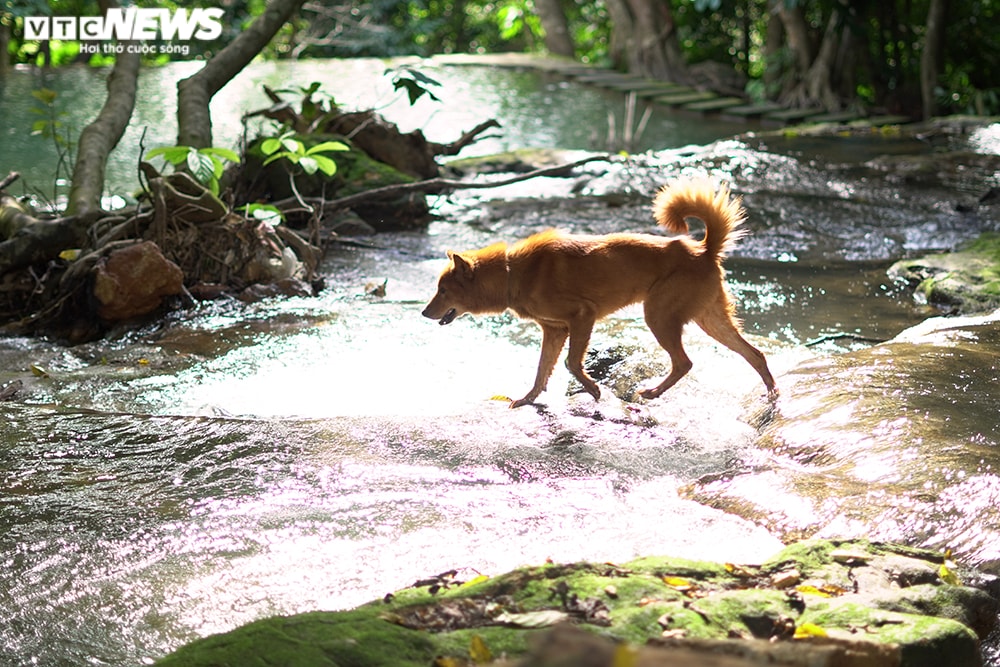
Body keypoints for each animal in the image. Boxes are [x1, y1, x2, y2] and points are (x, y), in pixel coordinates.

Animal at [420, 177, 772, 408]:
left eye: (443, 290)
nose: (423, 313)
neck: (512, 274)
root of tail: (703, 250)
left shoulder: (581, 316)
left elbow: (571, 364)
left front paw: (594, 391)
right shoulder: (555, 330)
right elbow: (542, 371)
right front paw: (526, 400)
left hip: (659, 316)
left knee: (684, 362)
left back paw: (652, 393)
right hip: (710, 320)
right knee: (754, 353)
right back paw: (771, 394)